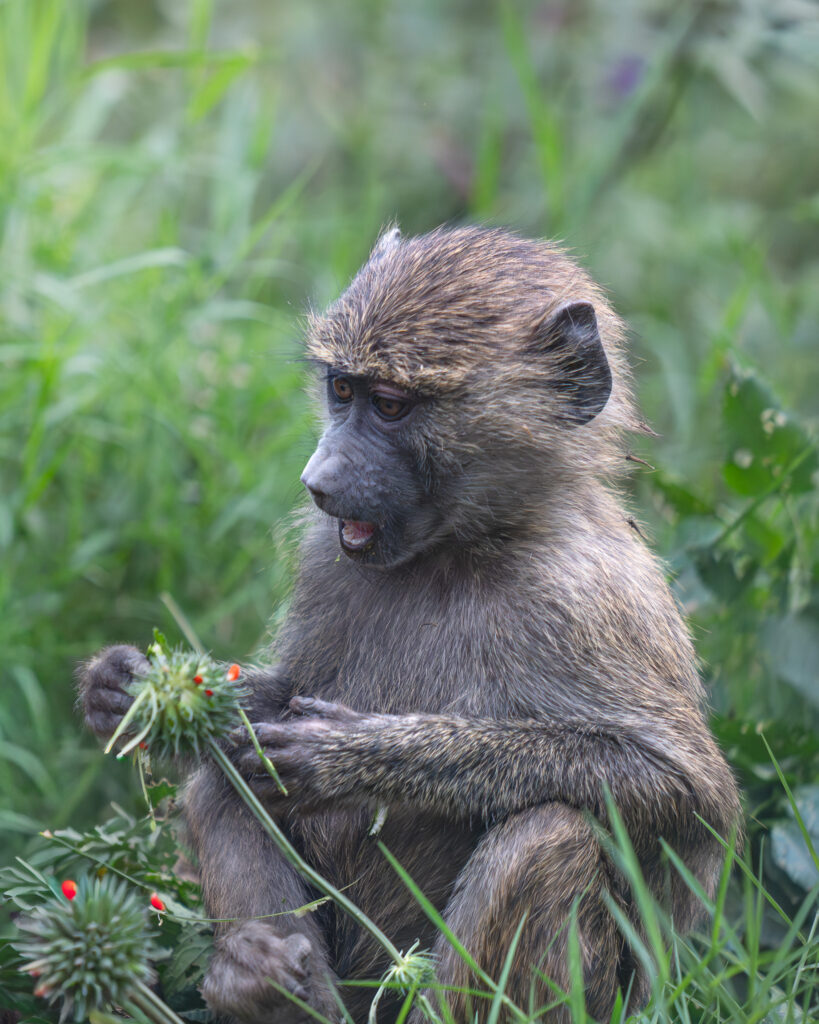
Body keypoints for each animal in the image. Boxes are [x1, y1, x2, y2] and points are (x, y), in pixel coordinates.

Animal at [79, 226, 742, 1024]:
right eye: (341, 390)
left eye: (392, 405)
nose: (319, 482)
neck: (462, 549)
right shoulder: (326, 559)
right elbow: (262, 710)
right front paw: (126, 687)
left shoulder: (591, 598)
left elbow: (685, 790)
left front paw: (354, 755)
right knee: (223, 779)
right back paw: (267, 984)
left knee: (548, 833)